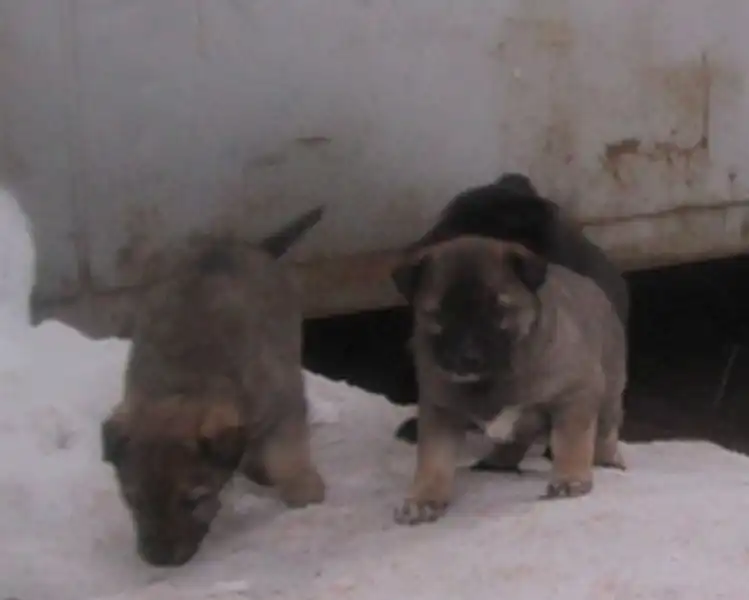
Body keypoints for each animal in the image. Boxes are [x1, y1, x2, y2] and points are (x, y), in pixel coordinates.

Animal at [101, 206, 326, 566]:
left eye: (193, 501)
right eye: (134, 500)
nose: (158, 559)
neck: (185, 384)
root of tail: (254, 247)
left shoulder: (283, 405)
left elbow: (287, 454)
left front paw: (303, 490)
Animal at [391, 236, 627, 525]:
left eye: (498, 310)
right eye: (439, 314)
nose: (467, 357)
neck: (489, 380)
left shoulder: (576, 392)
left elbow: (572, 439)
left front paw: (569, 477)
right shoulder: (440, 409)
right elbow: (434, 458)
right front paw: (424, 498)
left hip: (609, 394)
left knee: (605, 432)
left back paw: (608, 460)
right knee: (517, 438)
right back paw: (498, 460)